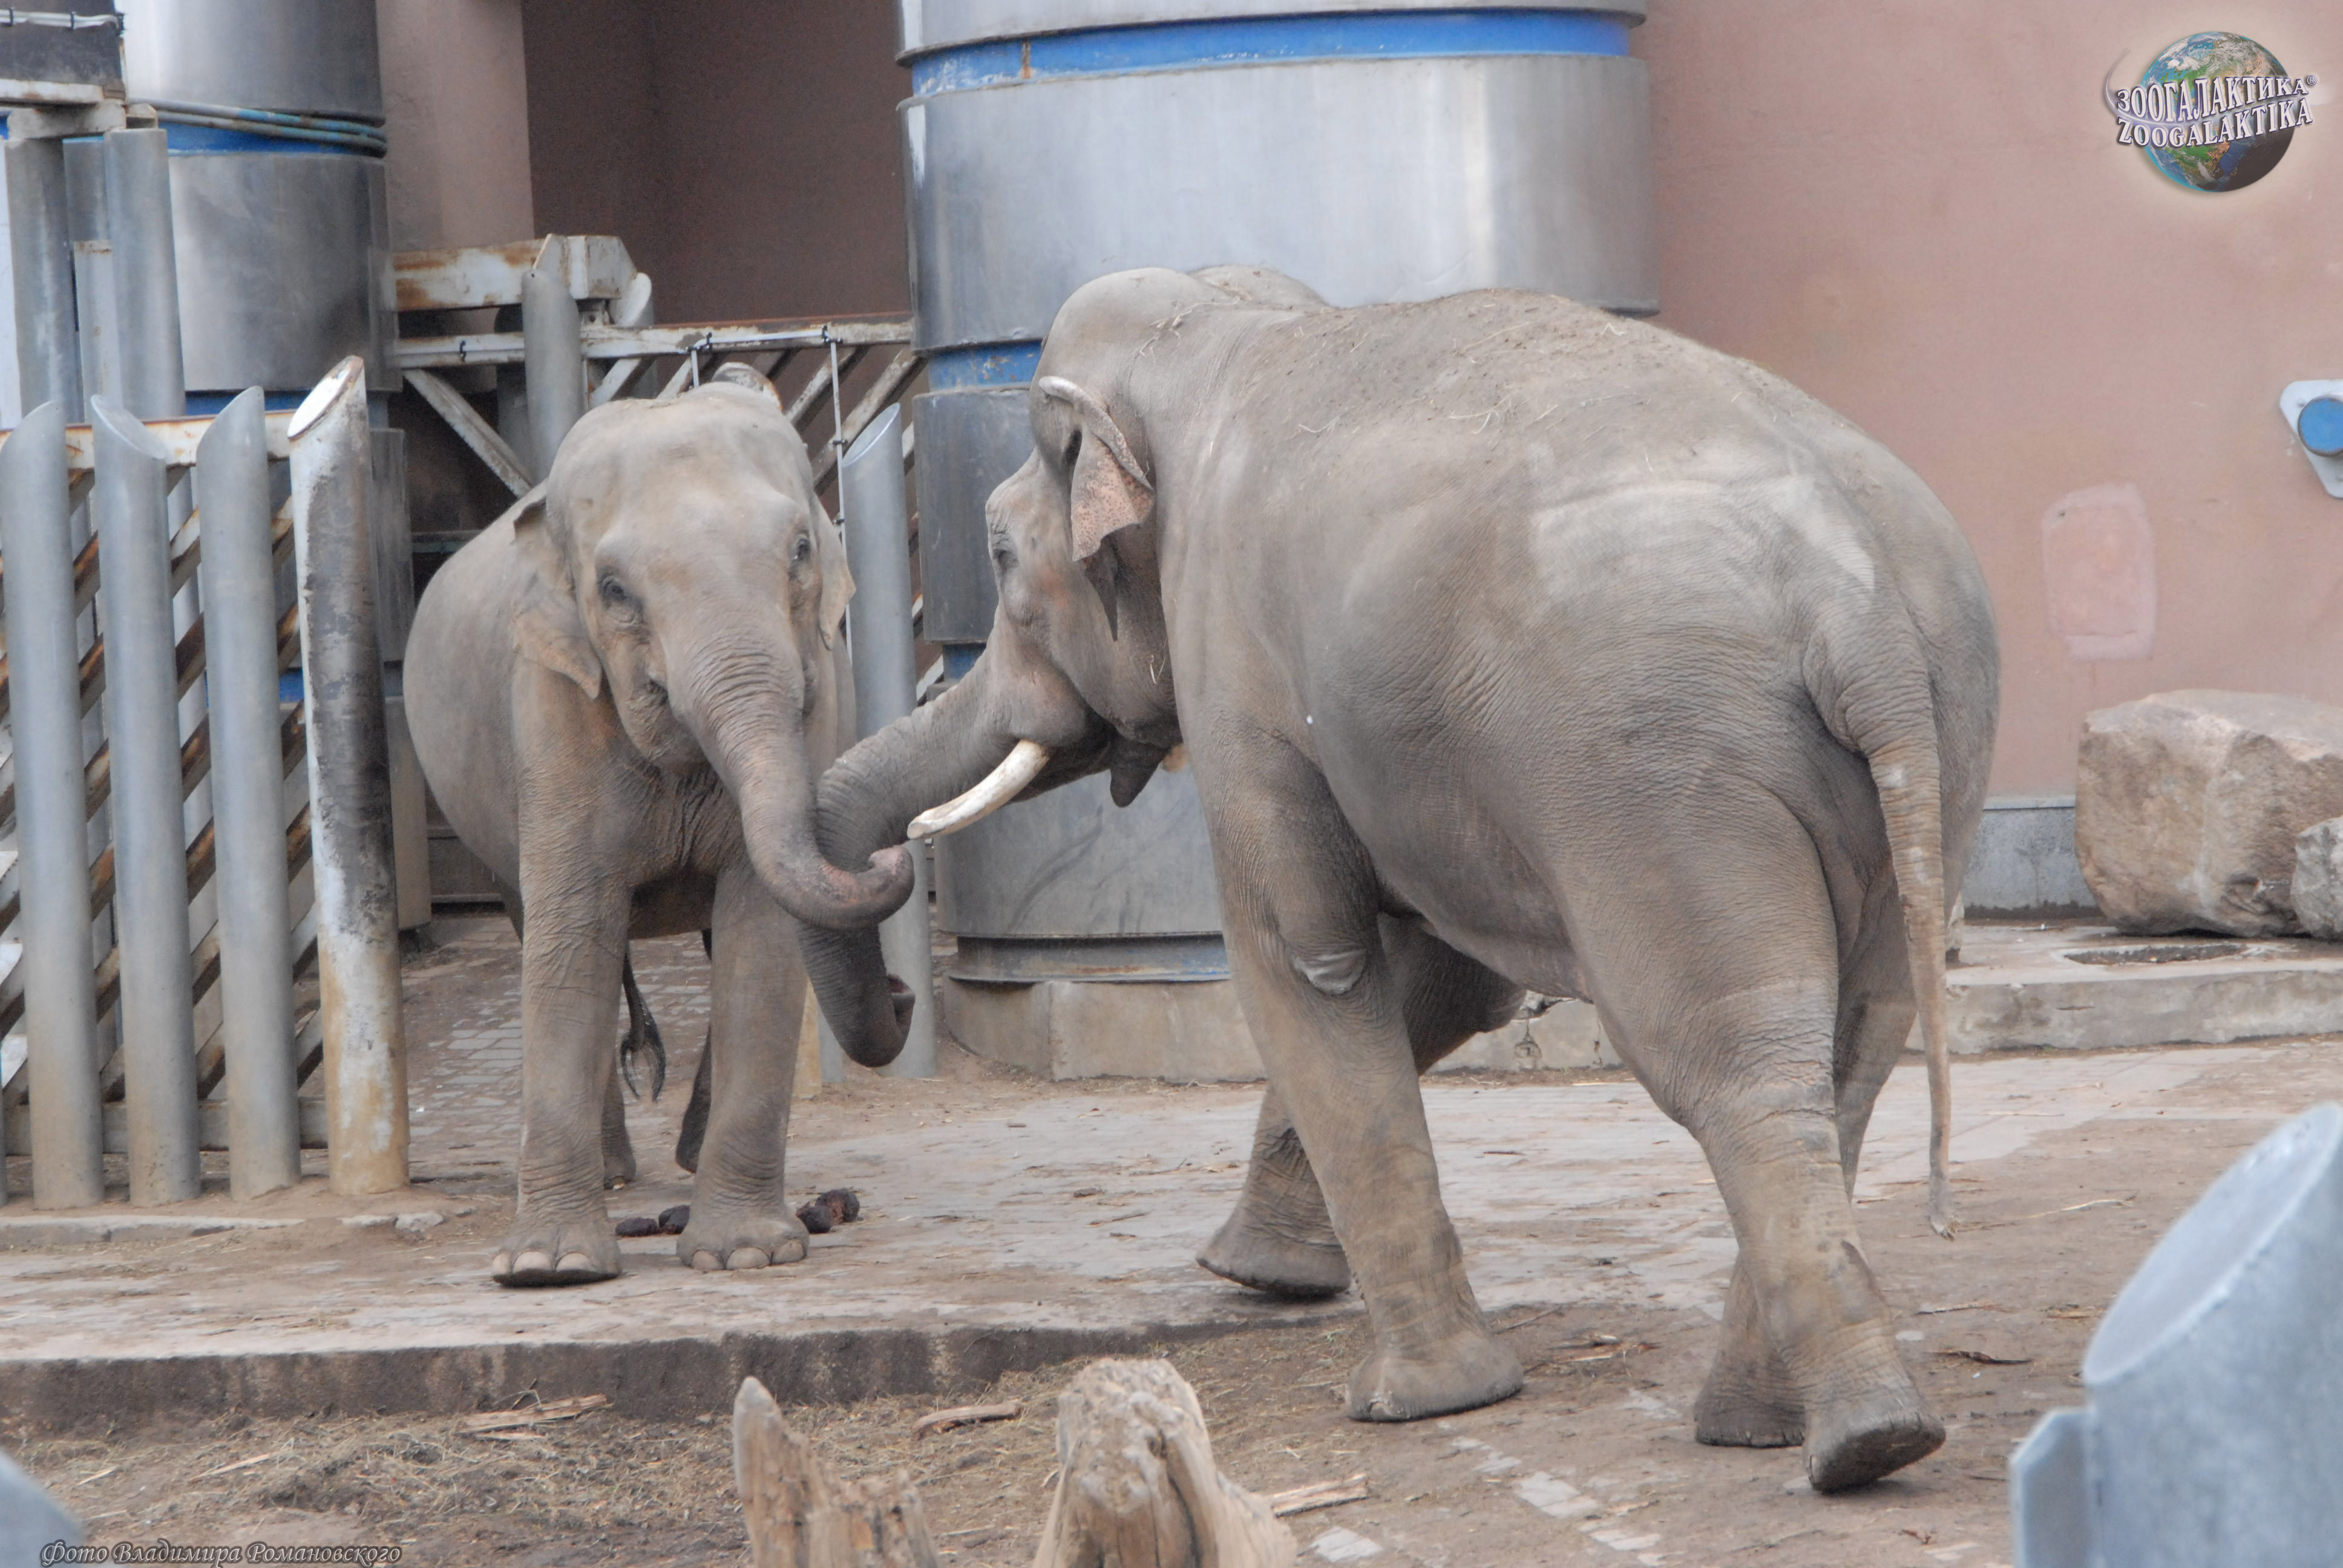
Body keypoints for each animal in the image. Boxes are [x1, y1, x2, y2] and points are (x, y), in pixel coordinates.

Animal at [406, 369, 914, 1287]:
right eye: (613, 590)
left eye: (800, 551)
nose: (900, 991)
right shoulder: (553, 701)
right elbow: (574, 936)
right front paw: (549, 1268)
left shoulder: (821, 687)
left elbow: (760, 936)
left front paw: (744, 1255)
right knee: (542, 929)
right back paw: (616, 1175)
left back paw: (686, 1160)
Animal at [799, 266, 1998, 1492]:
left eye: (997, 555)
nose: (901, 989)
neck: (1220, 333)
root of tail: (1860, 608)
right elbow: (1449, 979)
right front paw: (1259, 1275)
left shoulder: (1234, 662)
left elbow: (1305, 959)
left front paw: (1415, 1397)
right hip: (1934, 752)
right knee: (1849, 1053)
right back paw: (1787, 1426)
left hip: (1663, 779)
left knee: (1729, 1060)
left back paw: (1853, 1444)